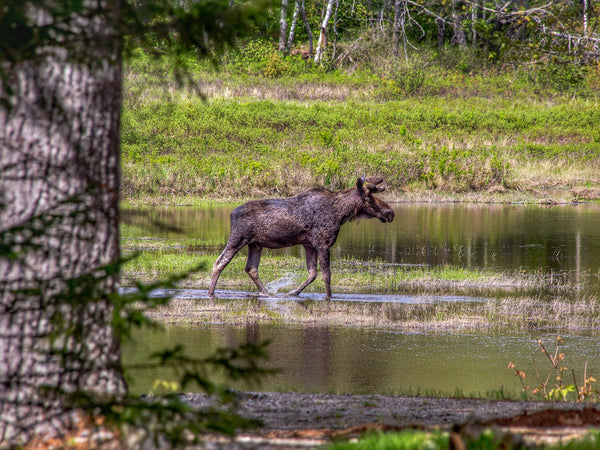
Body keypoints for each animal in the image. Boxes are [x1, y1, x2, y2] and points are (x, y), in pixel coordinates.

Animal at [209, 176, 396, 298]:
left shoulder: (309, 245)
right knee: (219, 262)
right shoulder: (323, 243)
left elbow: (312, 274)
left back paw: (266, 292)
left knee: (251, 269)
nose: (390, 212)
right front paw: (329, 297)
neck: (342, 214)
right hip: (237, 239)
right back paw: (210, 293)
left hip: (255, 244)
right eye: (369, 197)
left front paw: (293, 292)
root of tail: (231, 214)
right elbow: (327, 275)